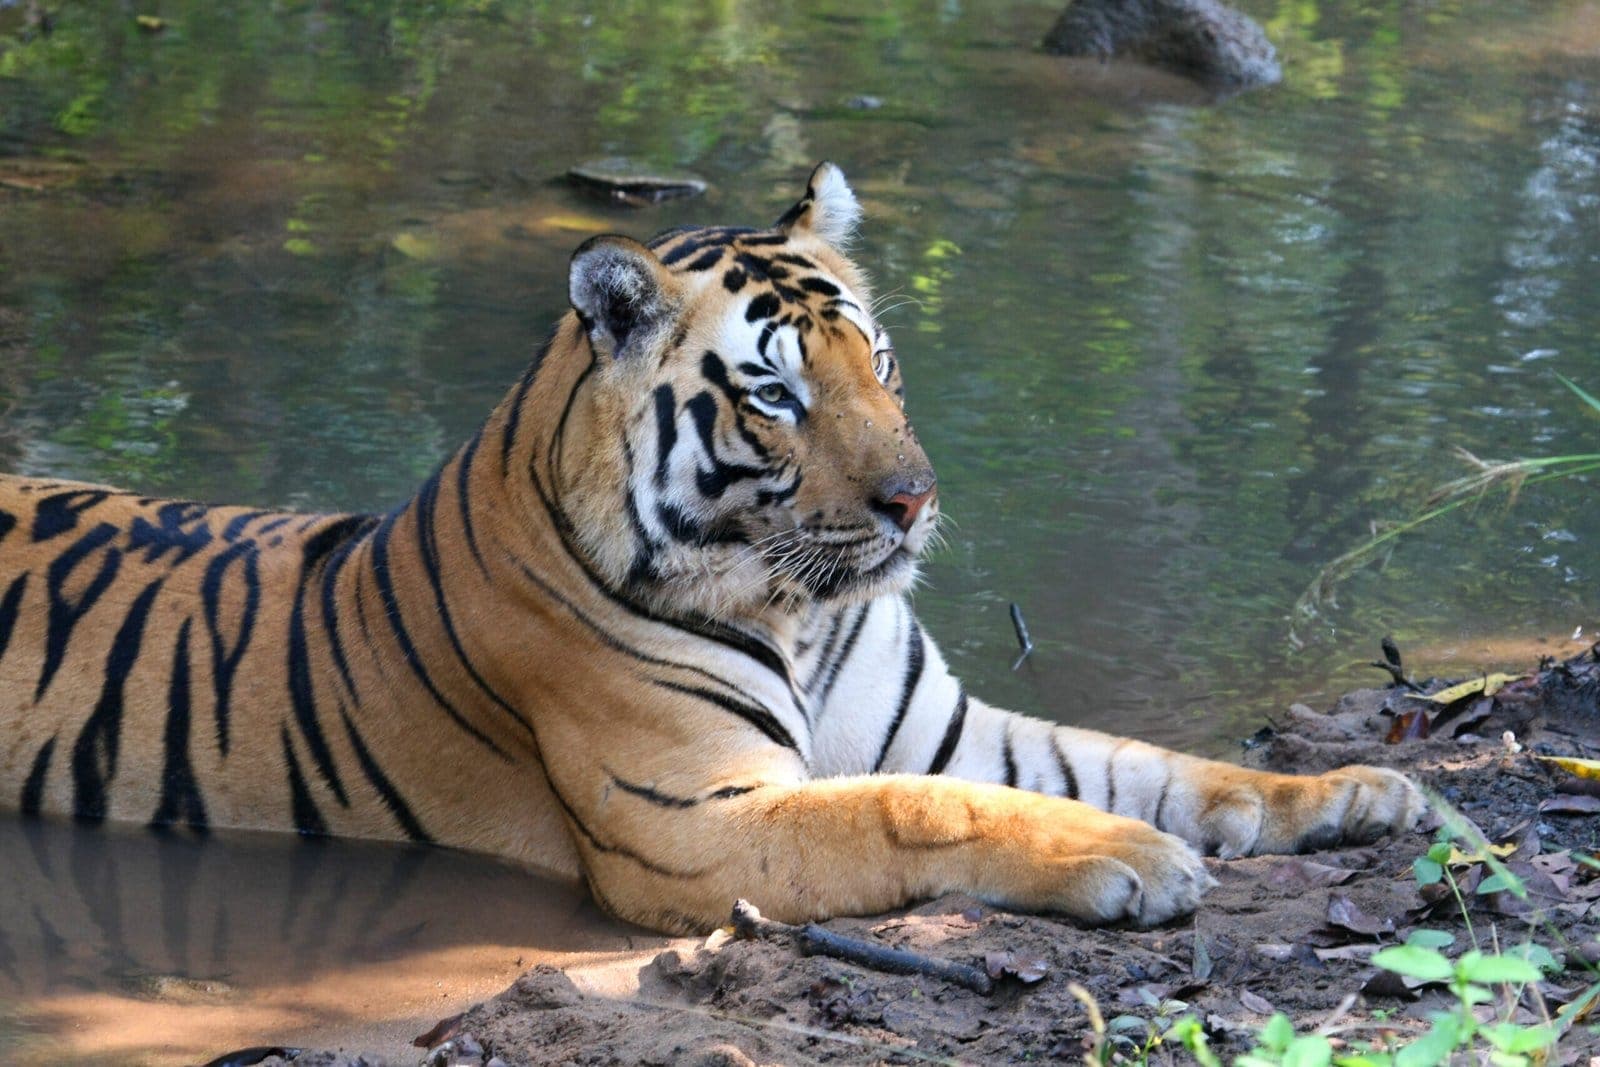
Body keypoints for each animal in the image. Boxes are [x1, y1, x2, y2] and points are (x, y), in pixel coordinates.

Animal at [0, 163, 1423, 935]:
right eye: (777, 393)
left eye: (878, 359)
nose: (915, 498)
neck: (810, 607)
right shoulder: (698, 821)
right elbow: (925, 807)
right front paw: (1128, 858)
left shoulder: (945, 727)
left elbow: (1149, 762)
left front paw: (1358, 791)